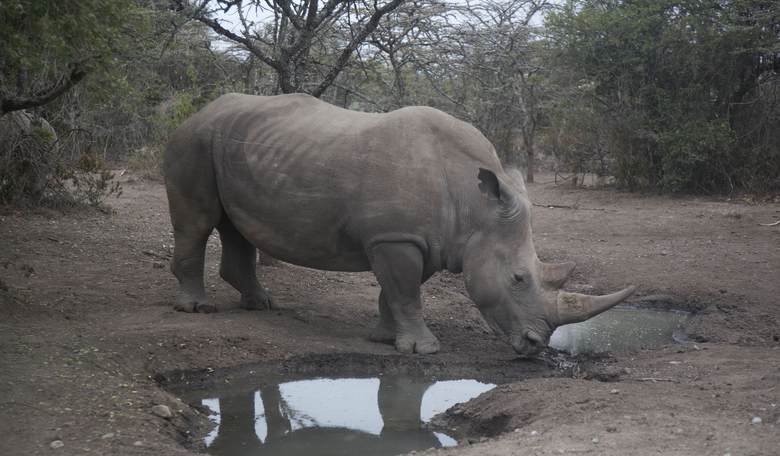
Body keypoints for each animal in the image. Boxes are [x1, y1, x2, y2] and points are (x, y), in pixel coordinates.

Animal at [164, 93, 635, 356]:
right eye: (518, 278)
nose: (535, 347)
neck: (475, 208)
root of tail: (199, 111)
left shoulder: (426, 240)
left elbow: (397, 291)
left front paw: (384, 338)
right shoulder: (396, 237)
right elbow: (407, 292)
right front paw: (422, 350)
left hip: (233, 142)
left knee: (234, 224)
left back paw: (261, 304)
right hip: (193, 140)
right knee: (198, 221)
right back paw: (197, 309)